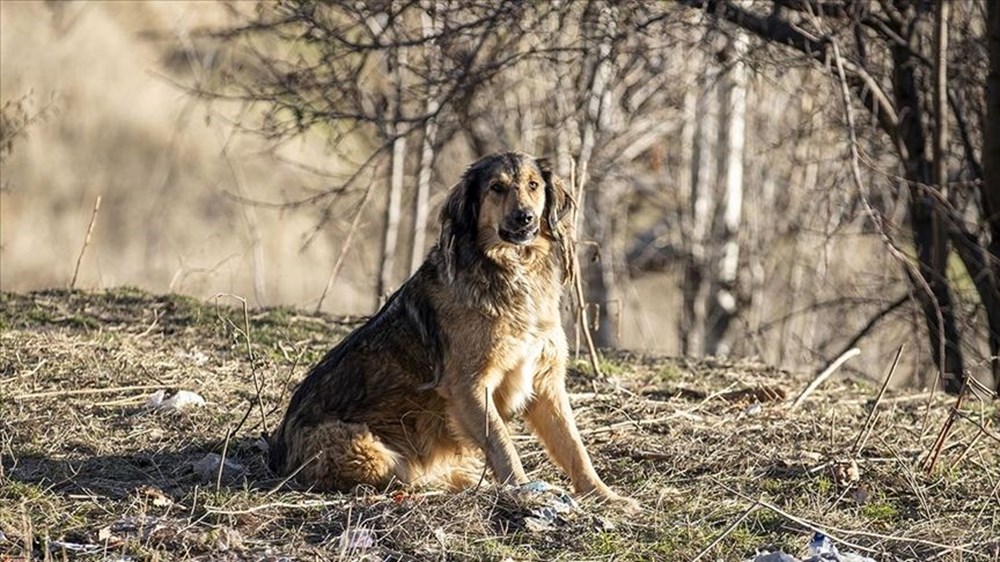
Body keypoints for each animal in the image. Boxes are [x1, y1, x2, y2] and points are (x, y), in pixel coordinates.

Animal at [268, 149, 632, 504]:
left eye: (533, 186)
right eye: (496, 188)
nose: (525, 217)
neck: (512, 270)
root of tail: (279, 454)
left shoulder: (545, 381)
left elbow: (574, 446)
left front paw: (605, 495)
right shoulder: (469, 385)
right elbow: (502, 443)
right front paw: (523, 489)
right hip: (366, 449)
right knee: (403, 475)